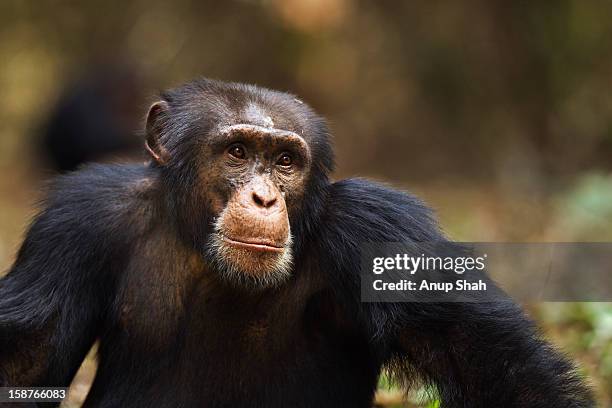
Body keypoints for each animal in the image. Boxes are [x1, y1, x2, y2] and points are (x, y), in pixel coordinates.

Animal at [0, 78, 592, 406]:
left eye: (286, 162)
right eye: (238, 152)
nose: (264, 198)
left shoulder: (381, 229)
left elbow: (489, 361)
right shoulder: (77, 223)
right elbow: (26, 360)